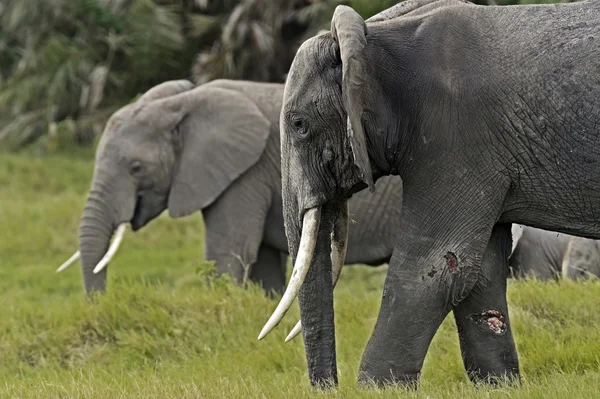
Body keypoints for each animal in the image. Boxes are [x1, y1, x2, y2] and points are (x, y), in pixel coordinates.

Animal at [56, 78, 404, 296]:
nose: (100, 303)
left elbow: (228, 252)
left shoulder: (246, 173)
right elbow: (263, 265)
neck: (182, 102)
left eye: (136, 168)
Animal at [260, 0, 600, 390]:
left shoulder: (455, 137)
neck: (371, 39)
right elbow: (477, 272)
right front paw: (499, 387)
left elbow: (432, 268)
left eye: (300, 125)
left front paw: (379, 389)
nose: (329, 388)